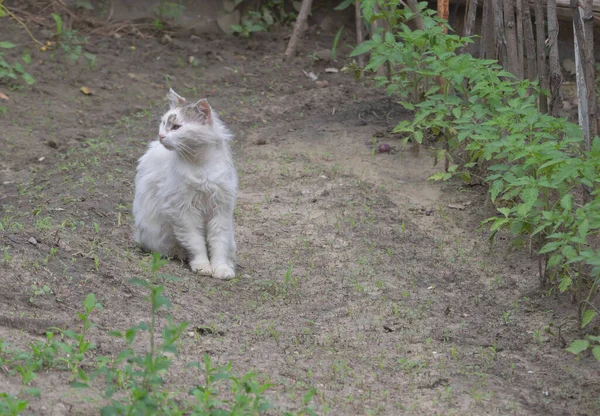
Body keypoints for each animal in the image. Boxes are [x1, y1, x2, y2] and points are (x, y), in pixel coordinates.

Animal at [132, 88, 238, 280]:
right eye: (164, 123)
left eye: (176, 127)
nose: (161, 136)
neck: (200, 164)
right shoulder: (183, 211)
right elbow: (196, 243)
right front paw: (202, 266)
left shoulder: (221, 209)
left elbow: (218, 244)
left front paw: (221, 268)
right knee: (170, 248)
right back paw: (182, 254)